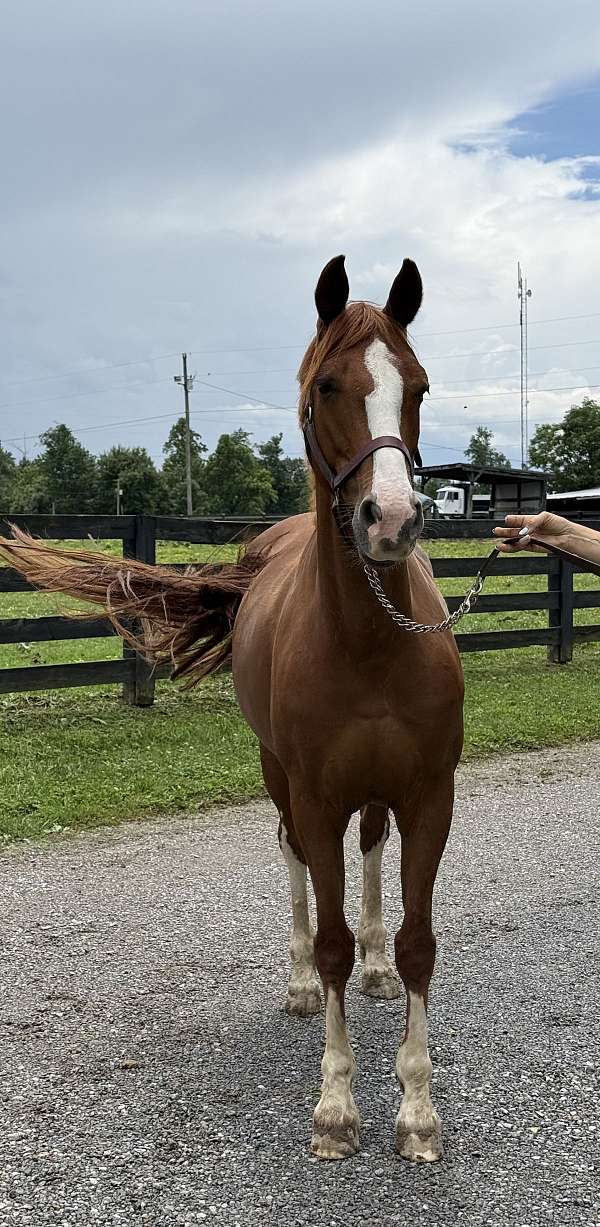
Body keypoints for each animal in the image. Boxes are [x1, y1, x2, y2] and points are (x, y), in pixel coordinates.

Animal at [0, 254, 464, 1162]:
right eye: (326, 385)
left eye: (419, 386)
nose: (392, 520)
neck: (368, 642)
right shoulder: (315, 796)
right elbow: (329, 937)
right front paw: (335, 1106)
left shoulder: (431, 796)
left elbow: (419, 942)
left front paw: (419, 1108)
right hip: (277, 773)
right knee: (293, 860)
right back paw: (297, 982)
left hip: (374, 795)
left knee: (370, 853)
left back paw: (376, 969)